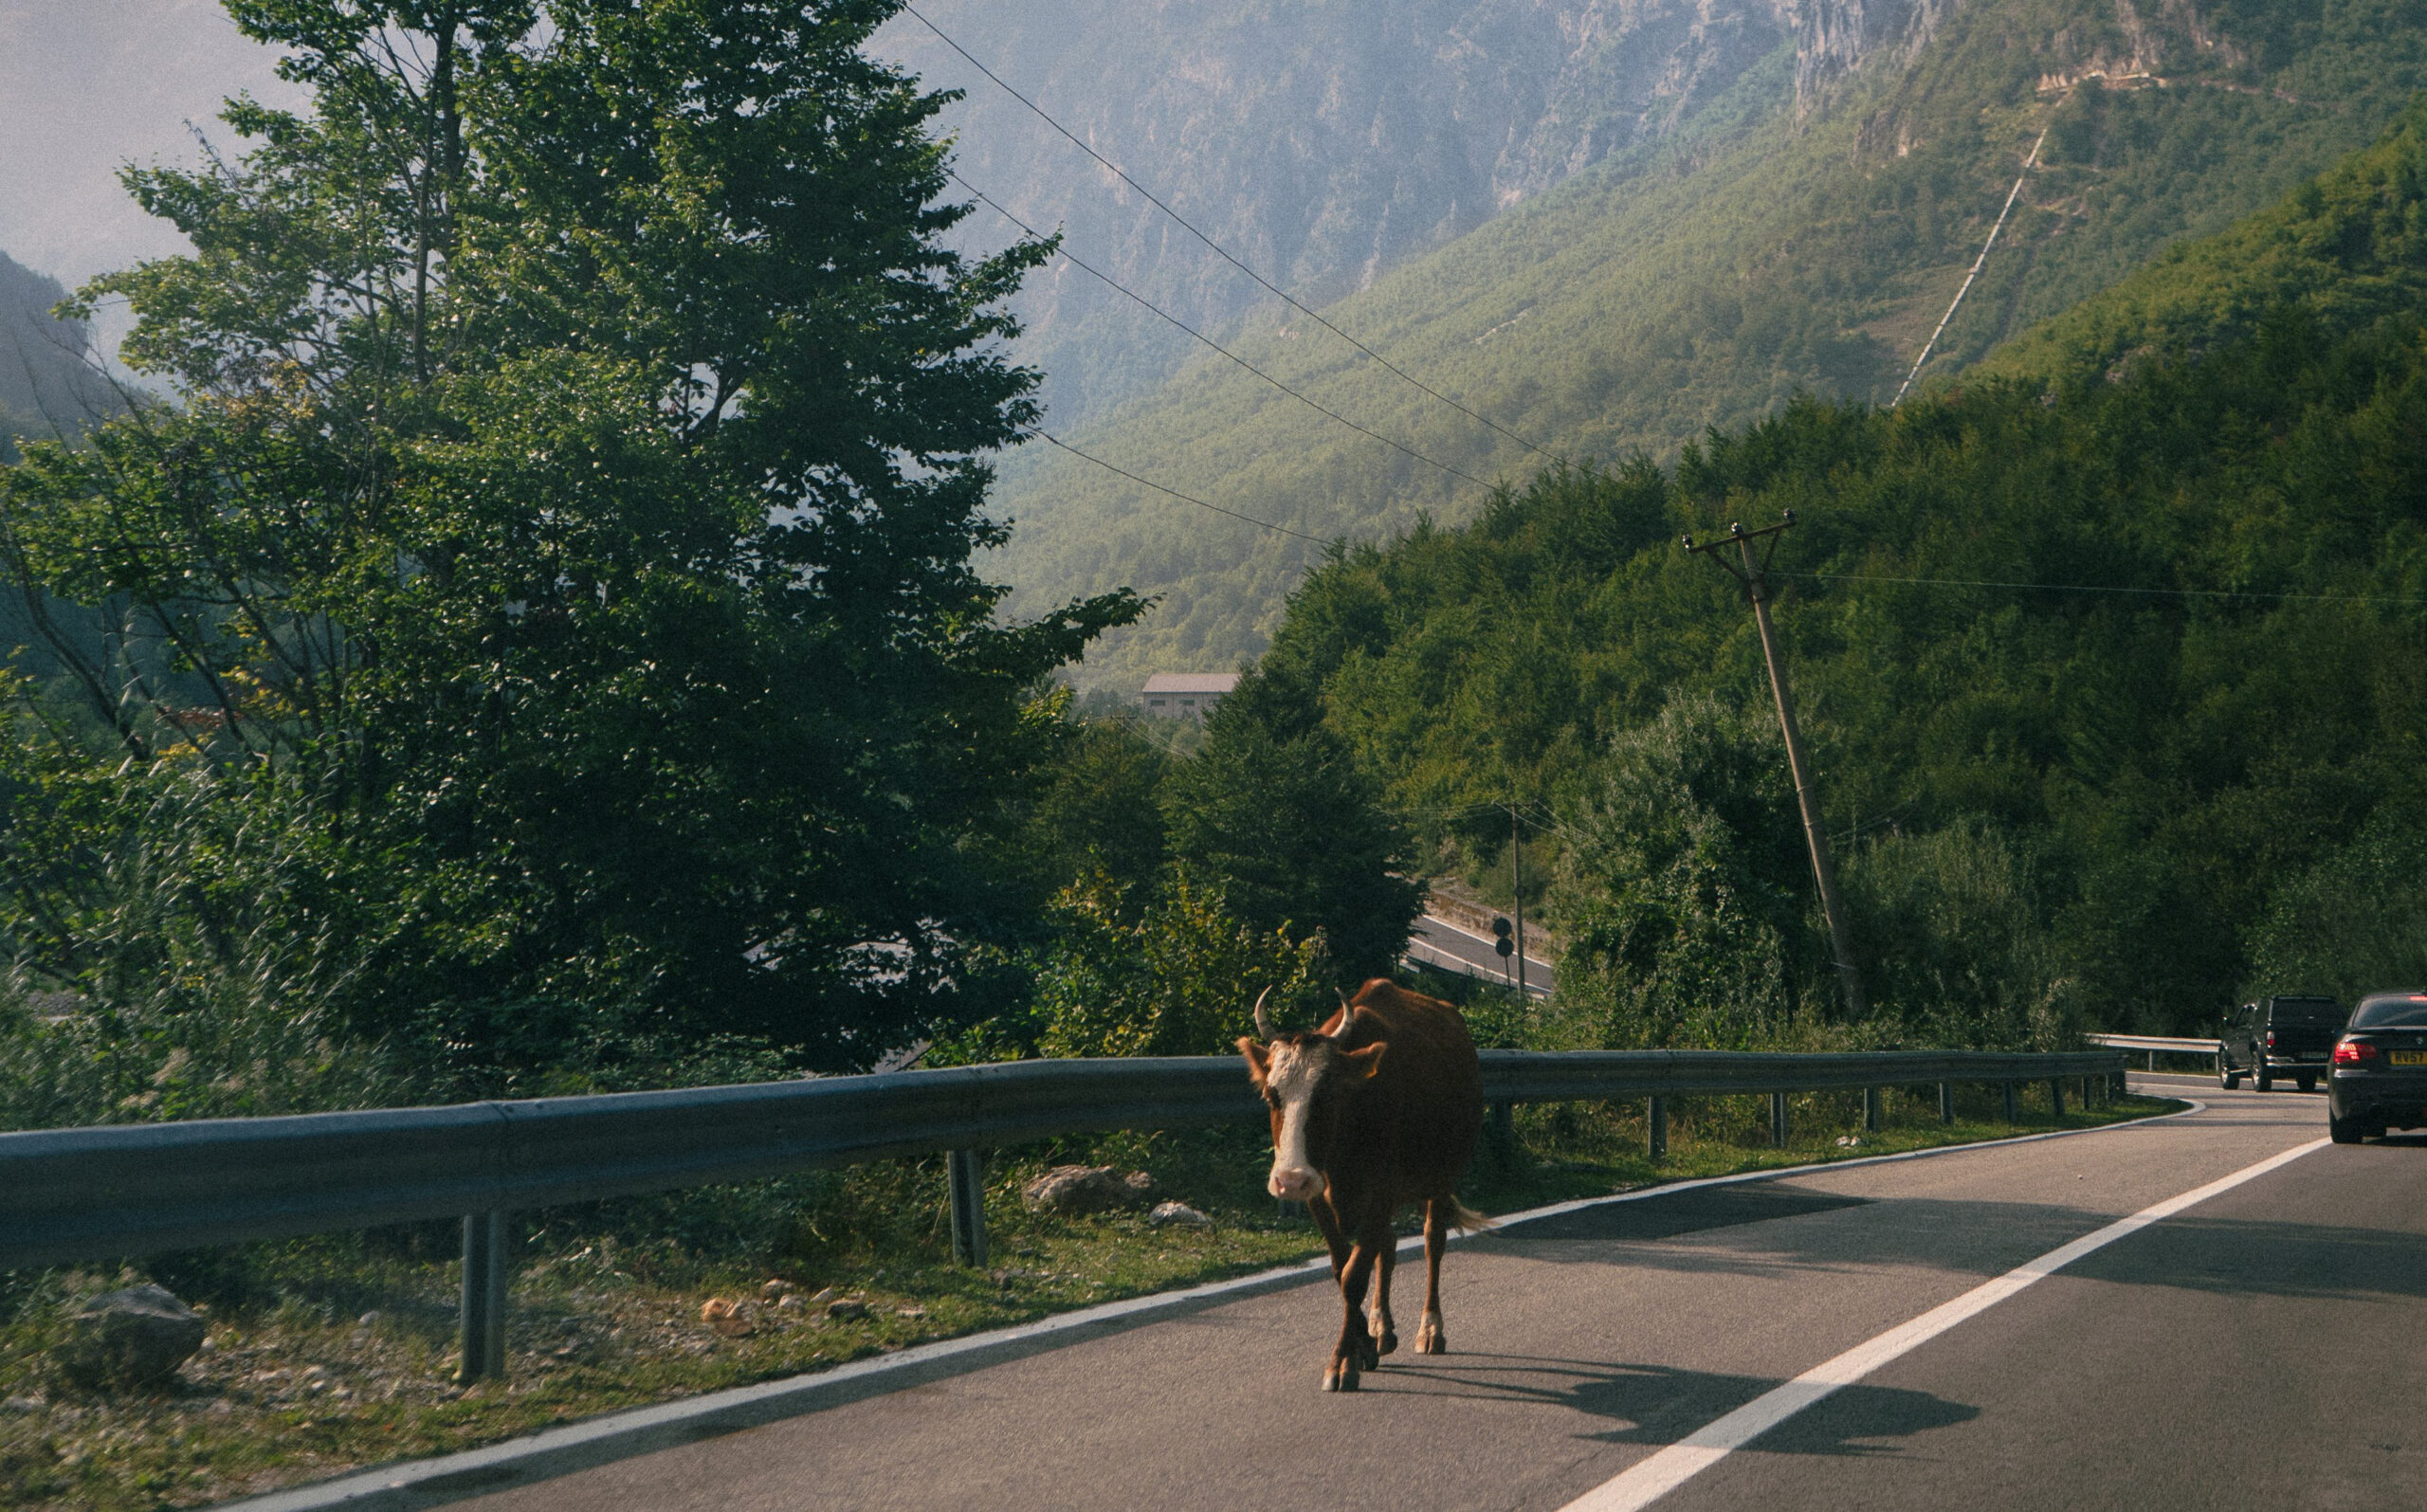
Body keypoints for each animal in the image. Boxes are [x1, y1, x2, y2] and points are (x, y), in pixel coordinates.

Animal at [1238, 977, 1486, 1392]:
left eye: (1327, 1094)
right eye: (1272, 1094)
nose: (1290, 1180)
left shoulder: (1381, 1192)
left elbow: (1354, 1276)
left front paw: (1342, 1361)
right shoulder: (1318, 1197)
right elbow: (1344, 1269)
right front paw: (1362, 1344)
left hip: (1440, 1179)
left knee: (1433, 1242)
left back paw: (1430, 1329)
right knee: (1388, 1245)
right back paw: (1381, 1328)